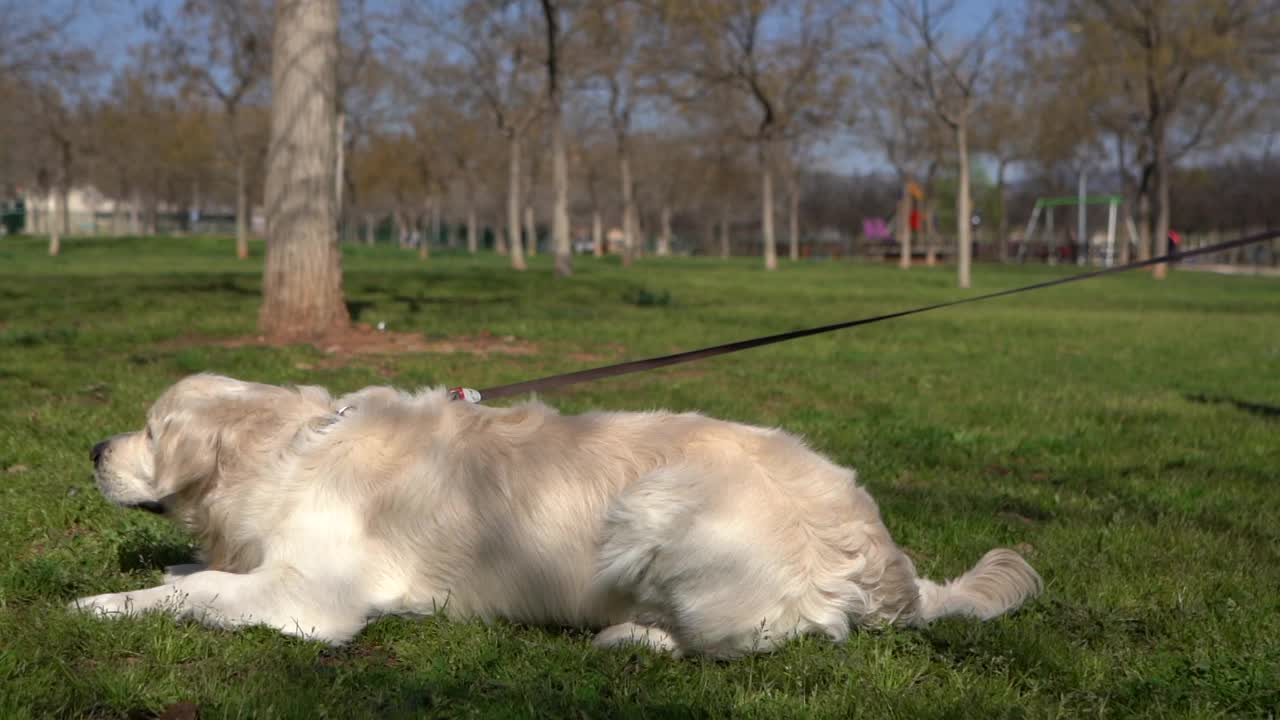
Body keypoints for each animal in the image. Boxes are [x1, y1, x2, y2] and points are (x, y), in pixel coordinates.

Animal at [74, 371, 1039, 653]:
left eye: (150, 431)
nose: (92, 448)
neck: (288, 447)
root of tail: (883, 555)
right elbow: (201, 572)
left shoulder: (311, 601)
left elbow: (195, 594)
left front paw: (101, 603)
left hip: (659, 503)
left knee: (753, 638)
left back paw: (631, 639)